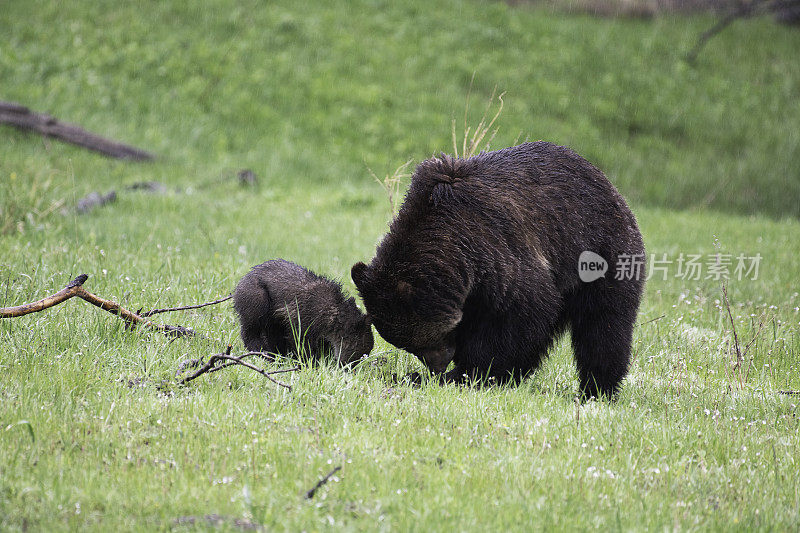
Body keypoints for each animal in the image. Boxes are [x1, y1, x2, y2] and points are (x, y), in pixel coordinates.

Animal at [354, 139, 648, 396]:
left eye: (425, 341)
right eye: (409, 347)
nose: (437, 366)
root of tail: (609, 185)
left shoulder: (497, 247)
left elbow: (519, 316)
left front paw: (468, 373)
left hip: (600, 253)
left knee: (603, 325)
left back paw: (597, 388)